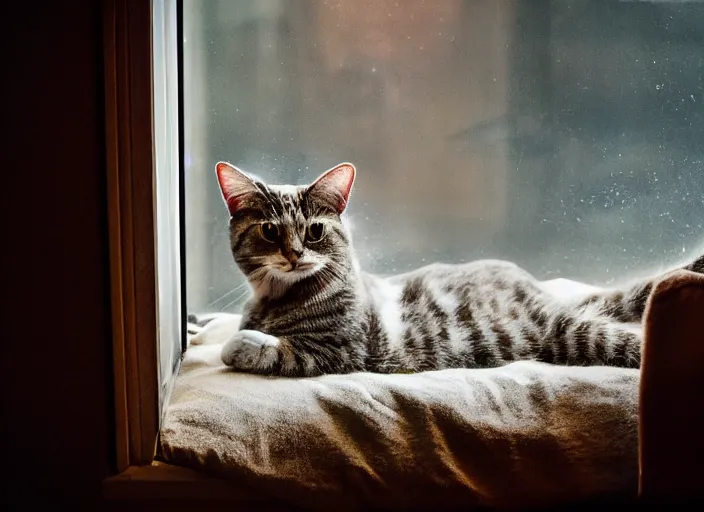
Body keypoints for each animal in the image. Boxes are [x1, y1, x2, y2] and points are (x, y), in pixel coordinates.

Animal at [208, 162, 704, 378]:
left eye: (313, 231)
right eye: (270, 231)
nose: (293, 254)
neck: (279, 298)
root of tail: (543, 294)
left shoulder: (336, 351)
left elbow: (272, 349)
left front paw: (243, 344)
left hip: (575, 334)